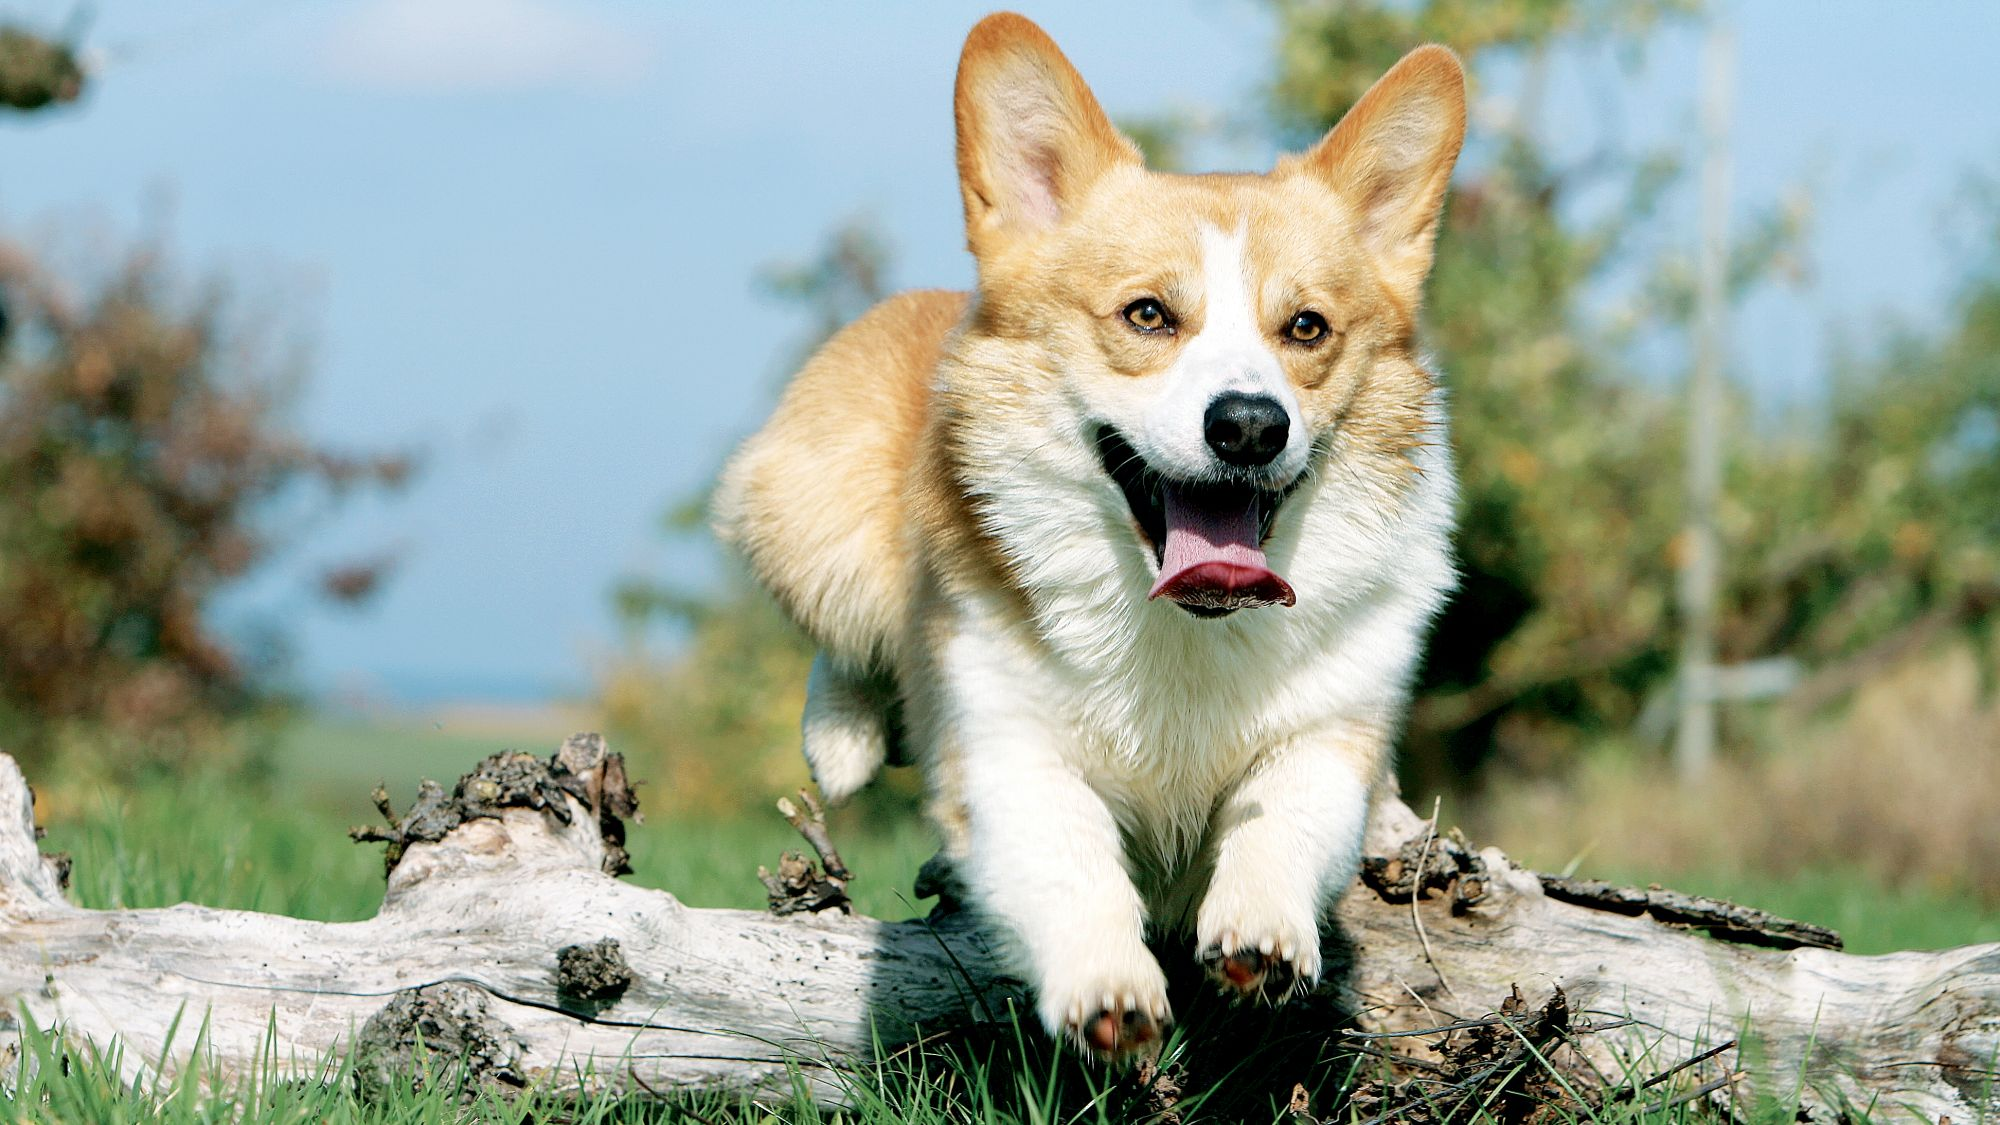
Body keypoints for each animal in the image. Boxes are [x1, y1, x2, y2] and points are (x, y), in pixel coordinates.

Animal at [712, 13, 1464, 1056]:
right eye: (1147, 314)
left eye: (1306, 328)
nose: (1250, 425)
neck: (1185, 625)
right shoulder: (1004, 744)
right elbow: (1068, 851)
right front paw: (1108, 987)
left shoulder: (1330, 729)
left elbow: (1288, 809)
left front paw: (1263, 934)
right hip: (816, 531)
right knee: (851, 643)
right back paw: (844, 736)